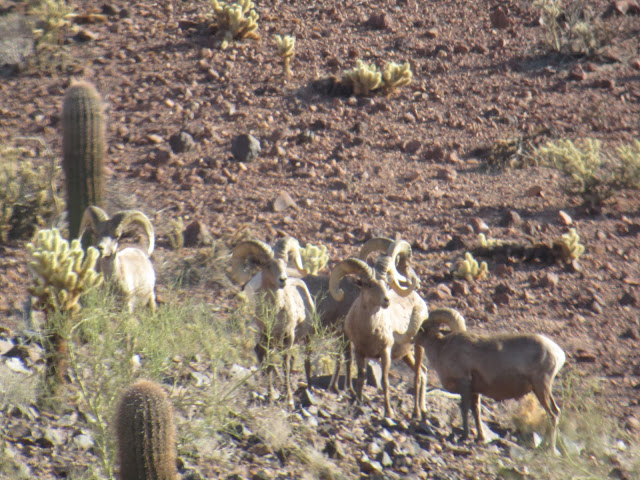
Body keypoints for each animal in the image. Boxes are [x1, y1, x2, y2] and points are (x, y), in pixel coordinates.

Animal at [231, 237, 315, 407]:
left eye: (285, 263)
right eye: (268, 265)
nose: (283, 279)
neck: (275, 313)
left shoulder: (288, 336)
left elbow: (286, 365)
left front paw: (289, 400)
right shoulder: (266, 337)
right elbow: (269, 364)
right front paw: (271, 397)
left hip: (308, 337)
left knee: (307, 362)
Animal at [329, 240, 429, 419]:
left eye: (386, 282)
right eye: (368, 284)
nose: (386, 300)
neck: (369, 330)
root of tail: (419, 300)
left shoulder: (385, 353)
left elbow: (385, 381)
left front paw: (389, 412)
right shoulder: (359, 352)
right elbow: (361, 377)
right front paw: (358, 405)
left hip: (419, 348)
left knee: (418, 375)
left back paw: (417, 412)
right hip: (406, 354)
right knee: (423, 373)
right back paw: (422, 410)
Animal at [413, 307, 565, 454]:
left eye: (422, 328)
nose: (413, 338)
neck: (442, 350)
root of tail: (559, 354)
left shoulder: (464, 385)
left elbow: (464, 409)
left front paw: (464, 436)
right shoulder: (475, 390)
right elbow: (476, 411)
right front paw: (480, 438)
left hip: (541, 387)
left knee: (552, 414)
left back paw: (549, 450)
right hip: (541, 389)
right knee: (554, 413)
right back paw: (543, 447)